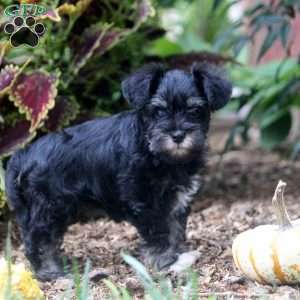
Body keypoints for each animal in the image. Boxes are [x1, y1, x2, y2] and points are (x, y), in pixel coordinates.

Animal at [5, 62, 233, 282]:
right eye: (159, 111)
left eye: (194, 110)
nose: (177, 135)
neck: (154, 150)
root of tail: (23, 154)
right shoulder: (145, 200)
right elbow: (157, 231)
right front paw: (163, 259)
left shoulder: (177, 197)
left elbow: (175, 227)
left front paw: (177, 252)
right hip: (48, 208)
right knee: (39, 240)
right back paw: (49, 272)